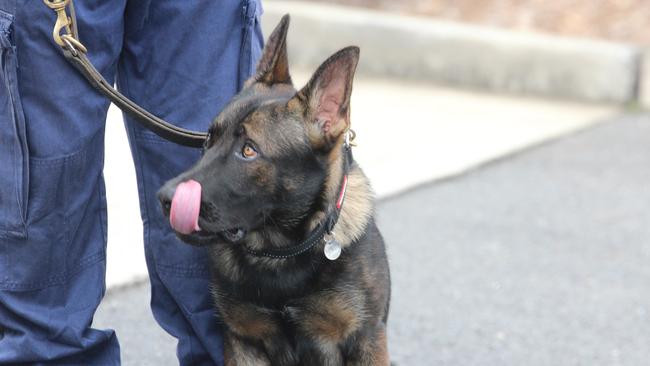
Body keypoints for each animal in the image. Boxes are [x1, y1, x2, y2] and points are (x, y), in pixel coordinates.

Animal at [158, 15, 390, 366]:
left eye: (249, 151)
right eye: (209, 140)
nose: (165, 198)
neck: (281, 253)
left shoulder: (366, 340)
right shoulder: (243, 342)